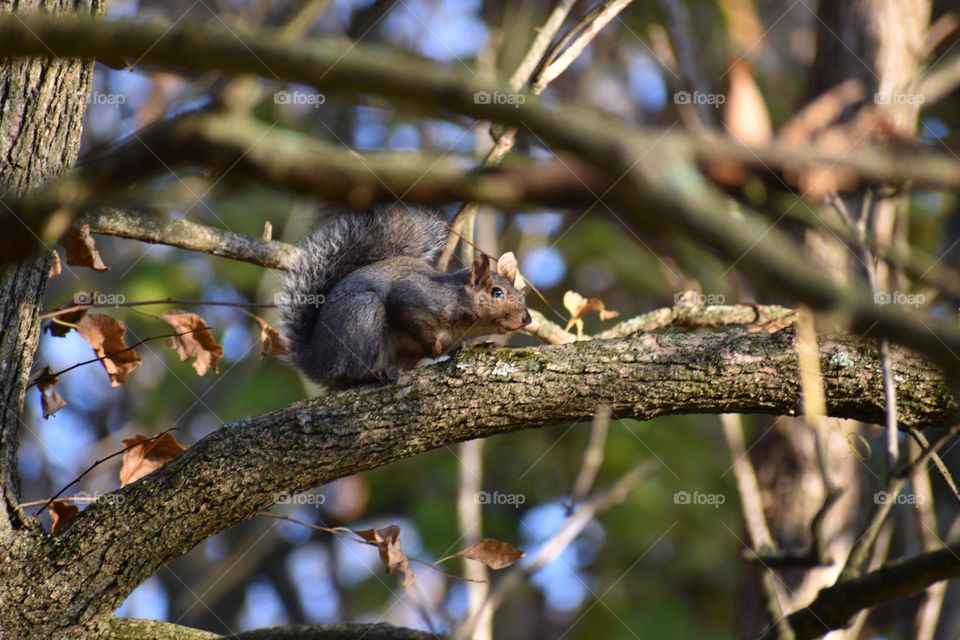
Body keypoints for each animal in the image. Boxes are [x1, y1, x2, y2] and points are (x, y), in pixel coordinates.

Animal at [279, 203, 532, 388]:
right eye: (497, 292)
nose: (527, 318)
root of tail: (317, 360)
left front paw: (477, 344)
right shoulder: (413, 297)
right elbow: (408, 314)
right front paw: (434, 349)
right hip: (362, 315)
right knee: (353, 372)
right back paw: (375, 374)